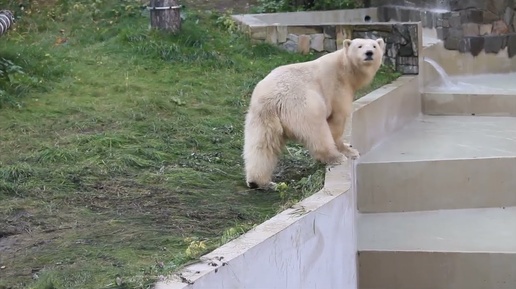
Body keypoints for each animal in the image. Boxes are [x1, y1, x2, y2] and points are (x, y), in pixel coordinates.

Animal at [244, 37, 384, 189]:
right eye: (360, 46)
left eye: (374, 46)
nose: (369, 53)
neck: (346, 68)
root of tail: (274, 99)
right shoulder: (338, 88)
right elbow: (337, 120)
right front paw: (349, 151)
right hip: (304, 106)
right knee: (317, 131)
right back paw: (335, 157)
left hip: (260, 114)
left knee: (262, 144)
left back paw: (259, 181)